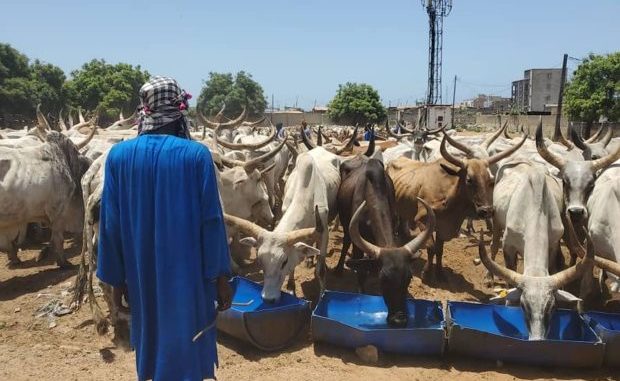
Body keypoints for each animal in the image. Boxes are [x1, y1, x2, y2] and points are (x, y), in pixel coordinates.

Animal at [390, 132, 524, 278]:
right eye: (469, 179)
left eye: (490, 180)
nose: (486, 211)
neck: (449, 199)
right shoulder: (422, 221)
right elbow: (431, 248)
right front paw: (426, 272)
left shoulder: (443, 227)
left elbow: (439, 250)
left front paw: (440, 273)